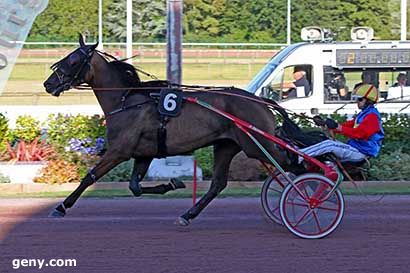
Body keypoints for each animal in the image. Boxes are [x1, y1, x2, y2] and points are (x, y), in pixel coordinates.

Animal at [44, 34, 294, 225]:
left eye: (74, 60)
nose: (48, 84)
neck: (126, 101)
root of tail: (261, 101)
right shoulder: (143, 153)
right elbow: (135, 187)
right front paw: (173, 183)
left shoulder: (119, 151)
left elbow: (90, 176)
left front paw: (62, 206)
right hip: (227, 145)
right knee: (218, 184)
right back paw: (187, 215)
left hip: (257, 146)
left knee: (292, 164)